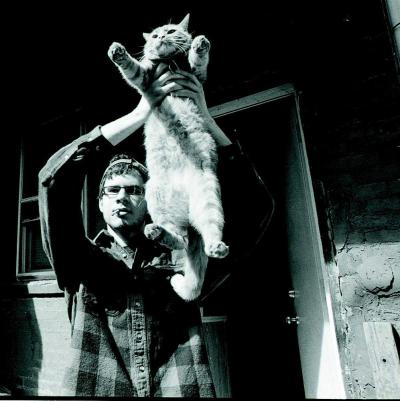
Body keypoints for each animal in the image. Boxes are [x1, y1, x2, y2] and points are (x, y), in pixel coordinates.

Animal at [107, 14, 229, 301]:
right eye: (154, 36)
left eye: (171, 31)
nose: (161, 37)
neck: (169, 63)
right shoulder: (145, 78)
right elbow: (132, 67)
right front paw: (118, 52)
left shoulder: (195, 76)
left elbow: (198, 62)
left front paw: (199, 45)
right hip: (158, 198)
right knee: (177, 238)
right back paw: (156, 231)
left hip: (208, 198)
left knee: (204, 233)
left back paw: (217, 246)